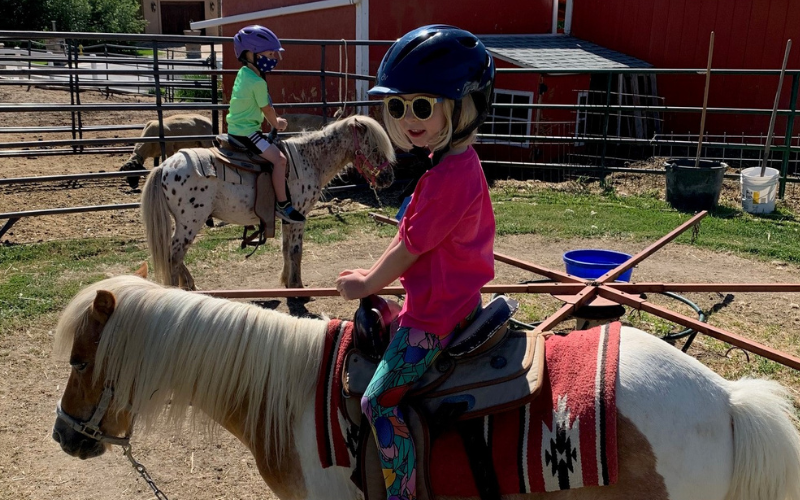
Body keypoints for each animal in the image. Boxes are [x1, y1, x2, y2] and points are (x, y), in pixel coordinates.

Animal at [141, 114, 396, 292]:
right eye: (374, 147)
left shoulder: (286, 220)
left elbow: (285, 249)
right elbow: (296, 251)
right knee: (174, 256)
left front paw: (287, 282)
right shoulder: (299, 217)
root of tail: (164, 166)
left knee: (173, 255)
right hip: (190, 222)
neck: (309, 159)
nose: (388, 178)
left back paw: (190, 284)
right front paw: (297, 286)